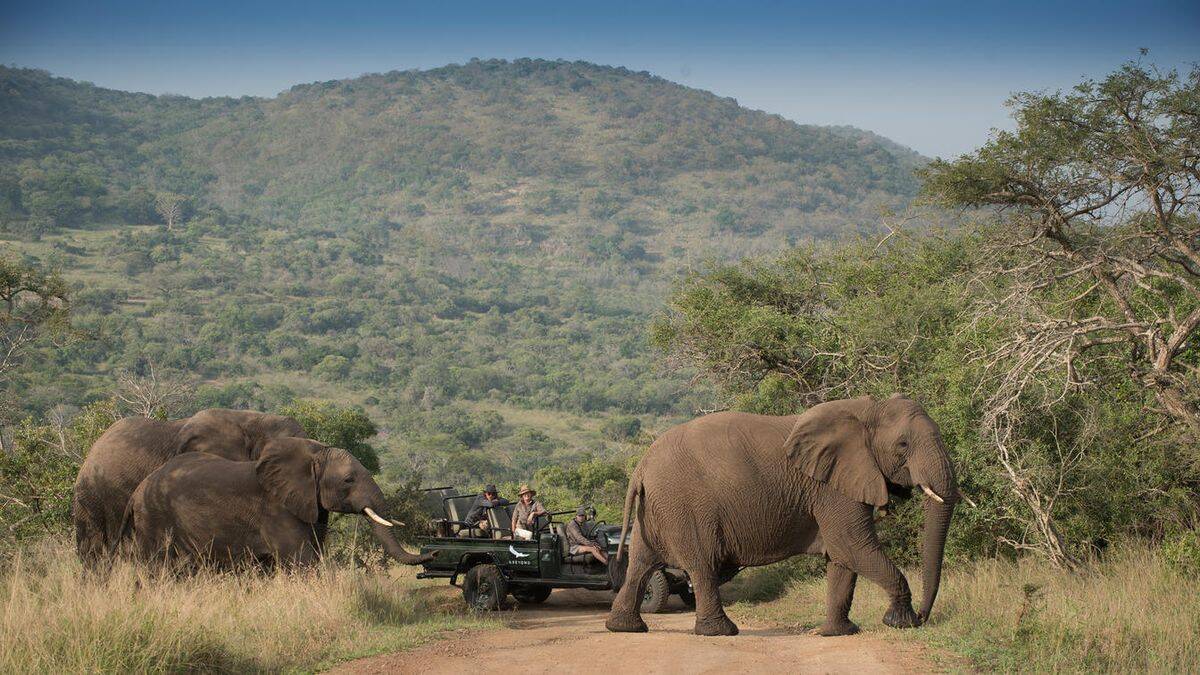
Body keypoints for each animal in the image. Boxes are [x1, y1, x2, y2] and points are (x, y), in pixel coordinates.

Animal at [123, 436, 434, 569]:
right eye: (348, 480)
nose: (432, 553)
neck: (313, 454)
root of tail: (137, 491)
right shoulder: (276, 509)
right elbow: (302, 560)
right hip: (154, 518)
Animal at [605, 395, 957, 637]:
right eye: (903, 445)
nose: (924, 617)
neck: (868, 411)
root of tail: (641, 466)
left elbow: (842, 558)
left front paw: (837, 633)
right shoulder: (831, 487)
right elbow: (852, 545)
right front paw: (900, 622)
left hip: (655, 510)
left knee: (640, 562)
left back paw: (624, 628)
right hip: (685, 506)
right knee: (702, 565)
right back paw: (721, 632)